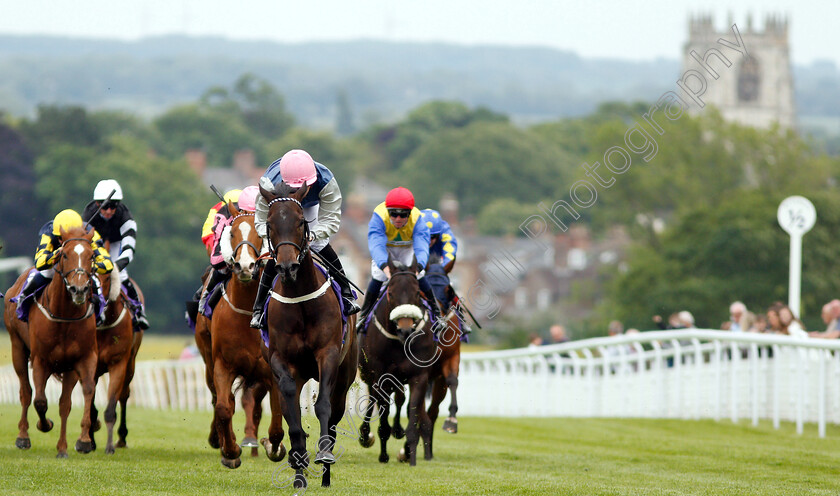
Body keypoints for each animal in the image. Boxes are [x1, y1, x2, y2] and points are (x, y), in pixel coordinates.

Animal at [2, 226, 100, 458]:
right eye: (64, 255)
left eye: (91, 256)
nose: (79, 289)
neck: (64, 316)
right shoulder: (41, 360)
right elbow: (40, 400)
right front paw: (44, 424)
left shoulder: (80, 360)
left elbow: (80, 395)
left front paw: (78, 442)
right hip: (17, 347)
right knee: (26, 392)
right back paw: (23, 436)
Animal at [207, 203, 288, 466]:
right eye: (231, 233)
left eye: (260, 234)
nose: (245, 267)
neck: (246, 314)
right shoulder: (223, 364)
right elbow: (224, 407)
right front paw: (230, 451)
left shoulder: (272, 370)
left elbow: (277, 418)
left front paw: (274, 447)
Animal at [260, 183, 358, 488]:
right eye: (270, 223)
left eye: (301, 221)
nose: (286, 267)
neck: (300, 299)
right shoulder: (280, 360)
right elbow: (291, 406)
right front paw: (298, 456)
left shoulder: (328, 354)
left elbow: (322, 405)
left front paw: (323, 454)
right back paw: (299, 474)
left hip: (345, 377)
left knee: (335, 414)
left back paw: (325, 475)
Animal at [356, 260, 436, 464]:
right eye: (390, 293)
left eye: (418, 292)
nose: (405, 329)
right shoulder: (380, 377)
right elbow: (382, 417)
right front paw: (383, 454)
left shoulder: (419, 376)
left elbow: (413, 413)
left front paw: (408, 450)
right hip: (369, 375)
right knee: (372, 400)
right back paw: (365, 434)